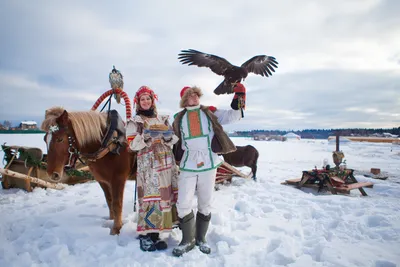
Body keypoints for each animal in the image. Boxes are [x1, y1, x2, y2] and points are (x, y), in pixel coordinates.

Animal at [41, 108, 136, 236]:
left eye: (60, 139)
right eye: (44, 139)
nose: (52, 174)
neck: (108, 143)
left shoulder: (118, 179)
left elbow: (117, 204)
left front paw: (116, 229)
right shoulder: (103, 181)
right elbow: (109, 201)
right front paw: (111, 220)